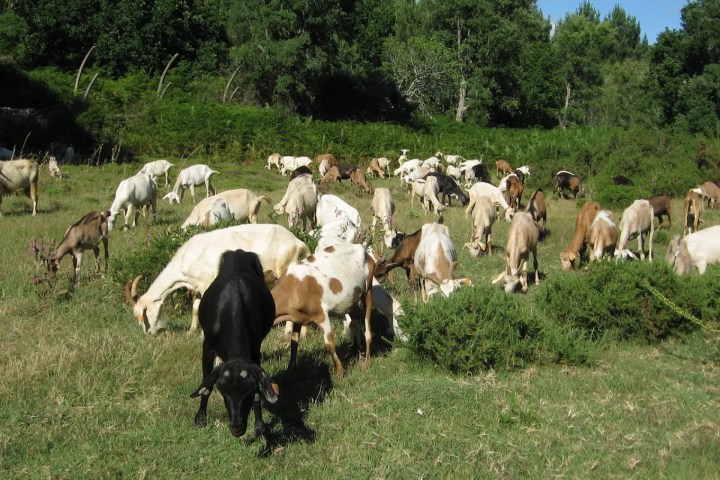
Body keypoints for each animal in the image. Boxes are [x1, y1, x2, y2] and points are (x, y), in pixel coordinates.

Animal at [125, 224, 310, 333]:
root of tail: (297, 241)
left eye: (141, 314)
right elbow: (195, 308)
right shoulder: (197, 287)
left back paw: (288, 332)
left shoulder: (207, 283)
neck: (187, 257)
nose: (149, 333)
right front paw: (192, 331)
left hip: (285, 268)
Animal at [190, 250, 278, 441]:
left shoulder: (255, 347)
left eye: (248, 392)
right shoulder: (207, 345)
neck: (234, 304)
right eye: (223, 392)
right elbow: (205, 385)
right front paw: (200, 418)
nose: (237, 428)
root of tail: (239, 251)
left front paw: (260, 426)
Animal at [271, 241, 375, 376]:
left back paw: (367, 362)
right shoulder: (297, 316)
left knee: (368, 328)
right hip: (351, 300)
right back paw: (356, 350)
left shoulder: (321, 313)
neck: (292, 288)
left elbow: (329, 343)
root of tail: (361, 247)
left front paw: (339, 371)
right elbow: (293, 342)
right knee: (355, 318)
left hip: (367, 291)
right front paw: (291, 368)